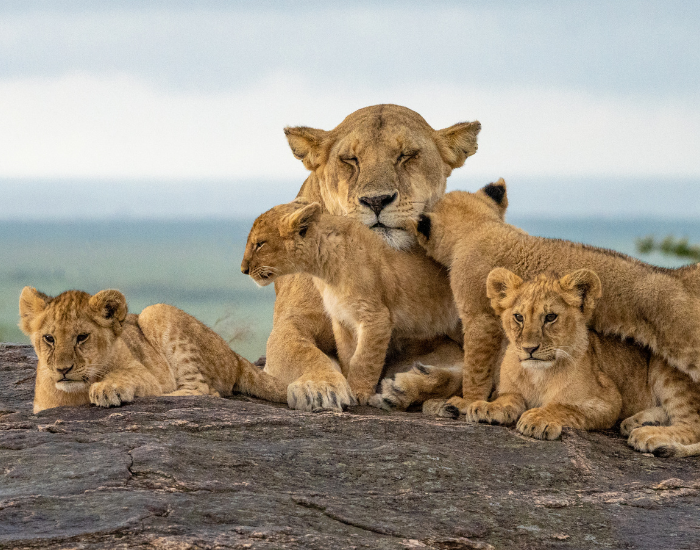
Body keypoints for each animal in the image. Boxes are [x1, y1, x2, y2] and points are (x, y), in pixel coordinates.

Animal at [19, 287, 288, 413]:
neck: (72, 394)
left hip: (155, 311)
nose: (63, 369)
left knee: (204, 390)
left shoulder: (146, 375)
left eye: (82, 337)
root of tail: (233, 355)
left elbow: (127, 376)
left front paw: (106, 388)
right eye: (49, 338)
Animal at [241, 199, 461, 406]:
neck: (324, 269)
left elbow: (365, 359)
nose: (243, 269)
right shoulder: (341, 319)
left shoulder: (376, 317)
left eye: (260, 244)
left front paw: (358, 392)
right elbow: (347, 355)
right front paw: (345, 383)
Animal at [264, 104, 481, 411]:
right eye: (350, 159)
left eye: (406, 155)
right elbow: (300, 352)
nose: (376, 200)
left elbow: (465, 370)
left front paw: (408, 386)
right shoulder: (291, 322)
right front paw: (320, 386)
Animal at [466, 268, 700, 457]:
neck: (538, 375)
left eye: (550, 317)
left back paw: (648, 435)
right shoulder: (510, 390)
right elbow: (508, 398)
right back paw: (638, 422)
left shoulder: (609, 400)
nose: (529, 349)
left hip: (668, 367)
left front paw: (538, 418)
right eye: (518, 317)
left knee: (693, 425)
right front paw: (487, 407)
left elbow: (564, 406)